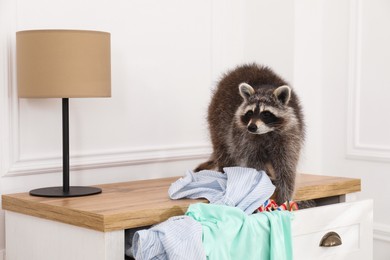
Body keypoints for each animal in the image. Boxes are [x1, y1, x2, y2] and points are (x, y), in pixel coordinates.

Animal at [195, 63, 304, 203]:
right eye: (250, 113)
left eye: (266, 114)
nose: (252, 127)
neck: (266, 133)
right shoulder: (245, 139)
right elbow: (254, 163)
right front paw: (263, 182)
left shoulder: (289, 136)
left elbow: (286, 167)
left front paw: (285, 196)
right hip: (217, 120)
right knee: (224, 151)